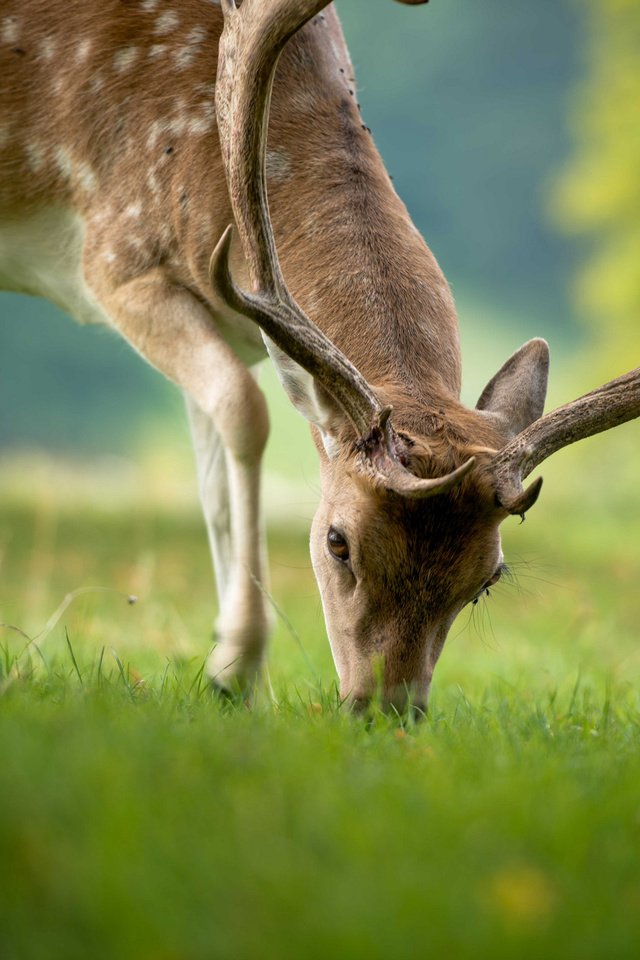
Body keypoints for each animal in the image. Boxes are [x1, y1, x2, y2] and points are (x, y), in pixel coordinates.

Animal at [0, 0, 636, 708]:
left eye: (488, 578)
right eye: (338, 544)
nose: (385, 708)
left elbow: (212, 480)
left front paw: (222, 666)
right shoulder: (118, 259)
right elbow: (244, 411)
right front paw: (239, 668)